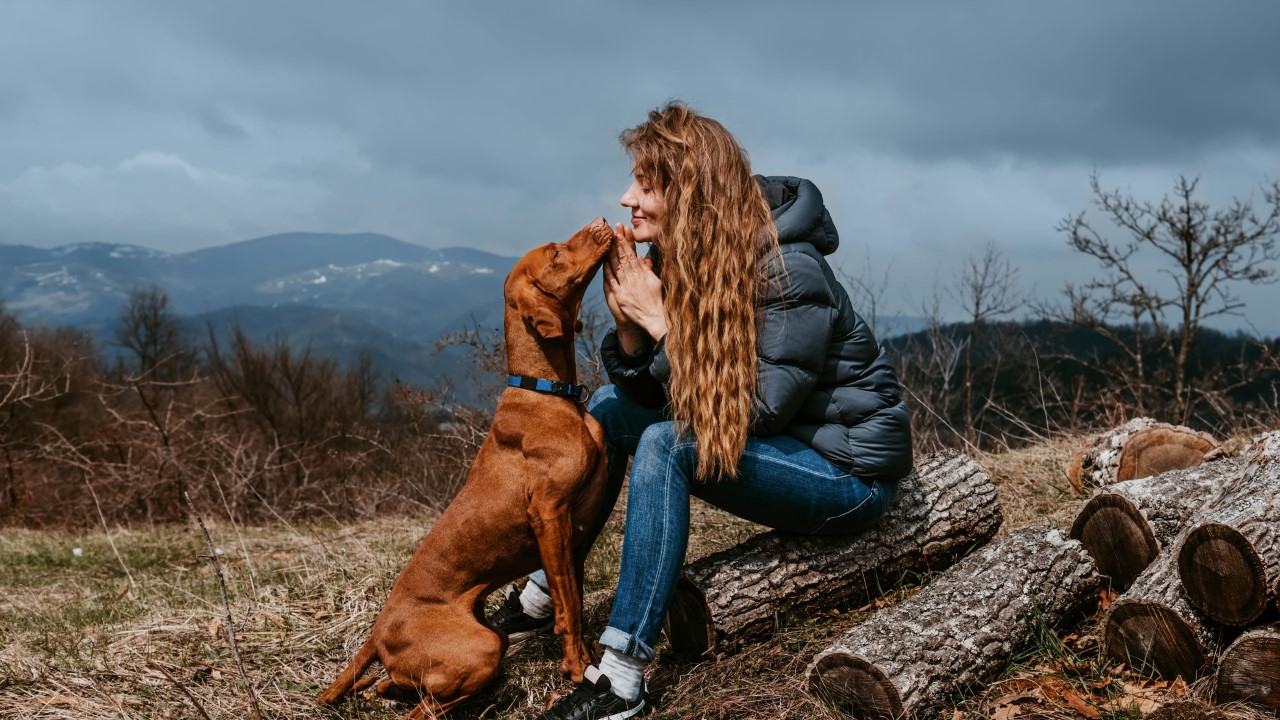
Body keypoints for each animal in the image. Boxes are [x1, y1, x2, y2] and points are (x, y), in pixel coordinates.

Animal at [322, 215, 616, 712]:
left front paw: (587, 654)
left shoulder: (574, 532)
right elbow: (568, 607)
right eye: (557, 252)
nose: (601, 221)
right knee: (423, 709)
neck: (547, 393)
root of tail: (378, 631)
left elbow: (573, 594)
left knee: (390, 686)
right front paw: (578, 669)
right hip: (482, 647)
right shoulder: (549, 515)